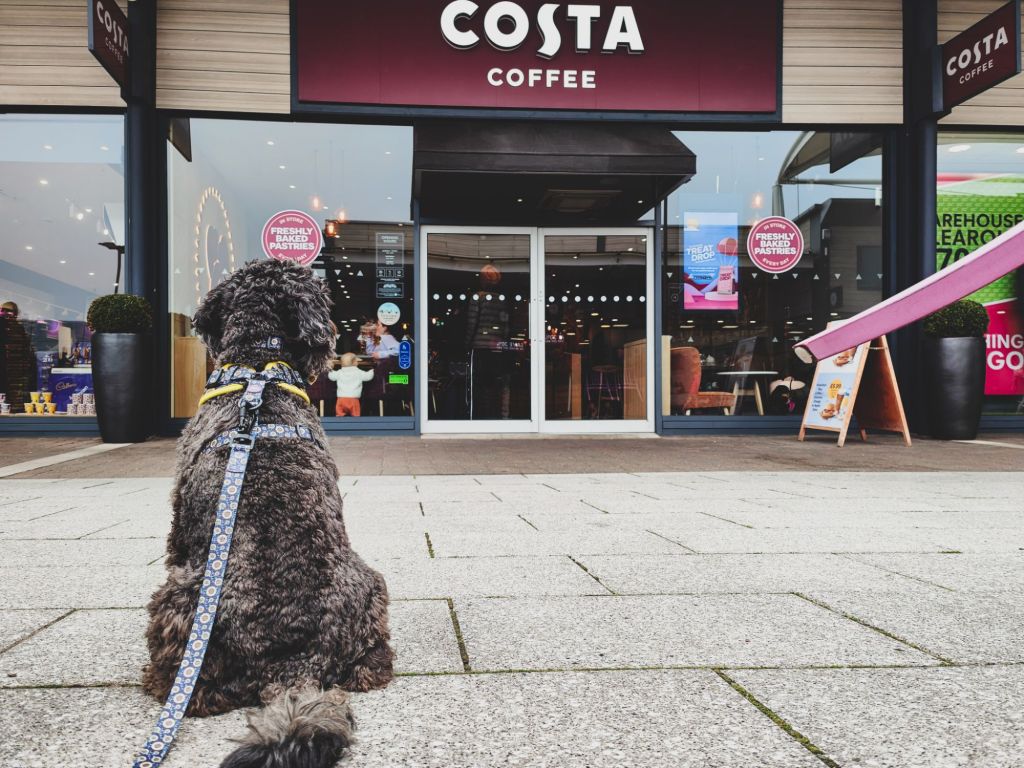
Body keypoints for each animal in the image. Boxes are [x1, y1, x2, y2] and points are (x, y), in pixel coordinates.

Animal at [143, 259, 394, 768]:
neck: (258, 364)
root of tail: (292, 661)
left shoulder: (180, 521)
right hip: (371, 585)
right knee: (370, 661)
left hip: (181, 599)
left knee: (197, 689)